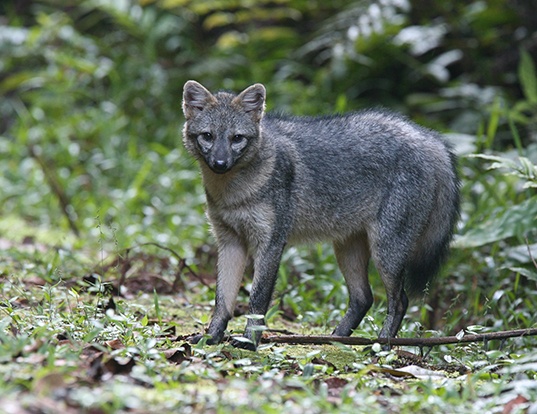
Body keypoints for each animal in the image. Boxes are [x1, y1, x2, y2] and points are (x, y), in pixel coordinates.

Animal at [182, 80, 458, 350]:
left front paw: (249, 341)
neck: (234, 193)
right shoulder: (230, 242)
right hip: (348, 250)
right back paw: (338, 338)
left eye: (237, 138)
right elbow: (222, 300)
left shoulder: (270, 243)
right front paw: (212, 337)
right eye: (208, 136)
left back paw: (381, 345)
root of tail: (427, 136)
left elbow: (257, 298)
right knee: (363, 298)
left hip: (386, 253)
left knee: (399, 301)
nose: (220, 163)